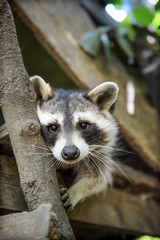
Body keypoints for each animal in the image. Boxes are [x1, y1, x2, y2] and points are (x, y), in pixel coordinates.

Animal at [31, 76, 119, 209]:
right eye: (53, 127)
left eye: (83, 125)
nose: (70, 153)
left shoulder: (100, 153)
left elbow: (98, 178)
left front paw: (74, 192)